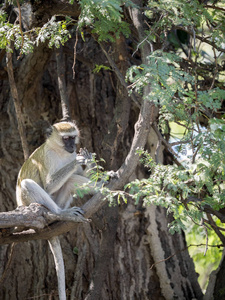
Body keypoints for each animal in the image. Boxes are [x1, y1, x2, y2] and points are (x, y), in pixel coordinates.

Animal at [16, 121, 95, 300]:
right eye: (66, 139)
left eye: (73, 137)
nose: (72, 146)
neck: (59, 151)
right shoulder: (48, 158)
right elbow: (48, 185)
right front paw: (80, 160)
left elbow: (80, 176)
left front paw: (91, 163)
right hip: (32, 203)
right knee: (27, 183)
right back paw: (60, 214)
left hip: (60, 200)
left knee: (71, 180)